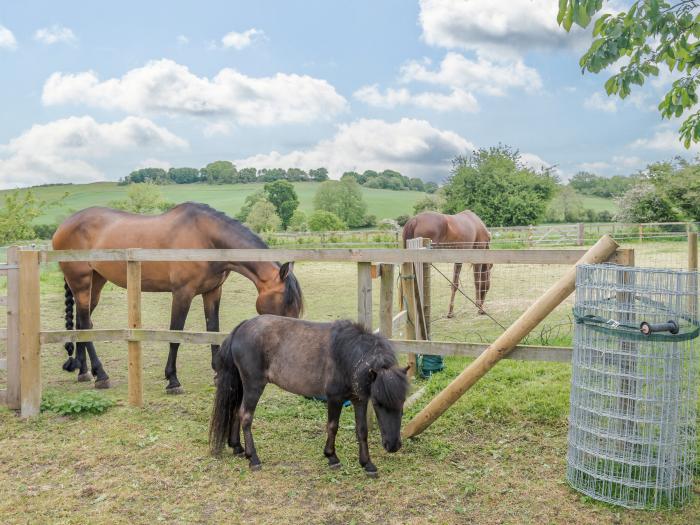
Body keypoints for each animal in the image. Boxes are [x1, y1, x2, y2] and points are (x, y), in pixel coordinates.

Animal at [53, 203, 304, 390]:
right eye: (286, 303)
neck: (206, 239)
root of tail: (63, 226)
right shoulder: (182, 293)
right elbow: (176, 332)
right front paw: (172, 379)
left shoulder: (212, 292)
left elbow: (212, 328)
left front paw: (216, 373)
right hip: (81, 283)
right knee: (85, 323)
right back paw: (101, 374)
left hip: (95, 284)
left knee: (83, 323)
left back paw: (84, 371)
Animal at [208, 316, 408, 474]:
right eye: (378, 403)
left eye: (403, 402)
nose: (393, 446)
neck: (346, 355)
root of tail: (241, 327)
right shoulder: (334, 398)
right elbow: (333, 426)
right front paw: (332, 457)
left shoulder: (358, 399)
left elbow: (362, 430)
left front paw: (367, 464)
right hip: (253, 385)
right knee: (245, 416)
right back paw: (253, 458)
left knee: (235, 411)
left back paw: (237, 447)